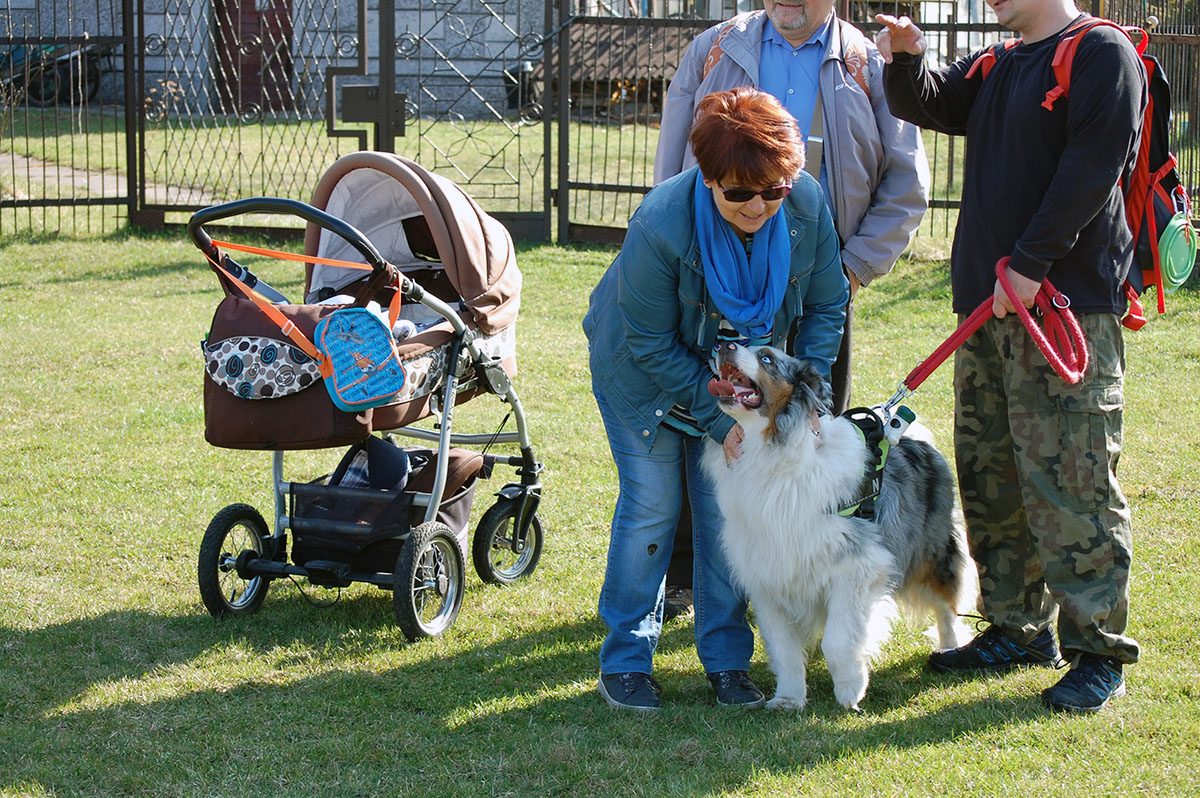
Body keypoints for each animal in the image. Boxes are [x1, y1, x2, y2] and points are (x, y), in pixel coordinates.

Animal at [702, 342, 975, 711]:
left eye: (767, 358)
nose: (723, 344)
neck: (770, 451)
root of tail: (915, 441)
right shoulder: (768, 577)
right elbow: (784, 649)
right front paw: (788, 697)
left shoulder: (857, 569)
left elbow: (838, 639)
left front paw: (850, 690)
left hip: (930, 552)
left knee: (947, 604)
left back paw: (949, 647)